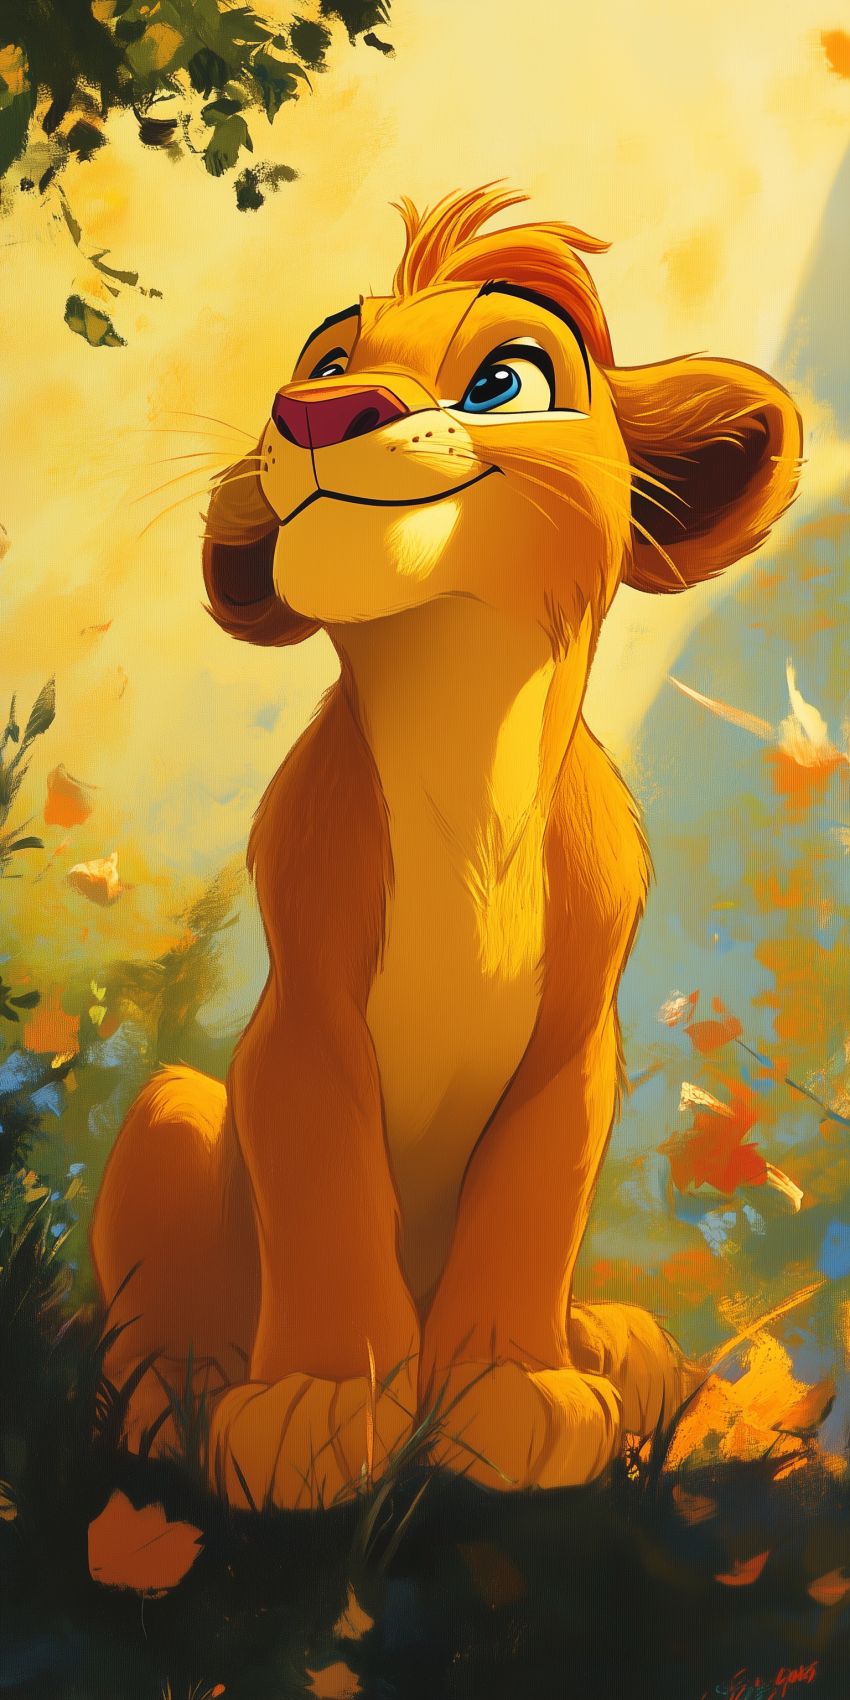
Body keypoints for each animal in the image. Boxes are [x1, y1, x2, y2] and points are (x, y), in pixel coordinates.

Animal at [90, 186, 802, 1508]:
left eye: (504, 379)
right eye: (328, 360)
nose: (314, 413)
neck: (460, 736)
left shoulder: (573, 1054)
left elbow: (526, 1215)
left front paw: (514, 1393)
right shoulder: (303, 1029)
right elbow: (327, 1203)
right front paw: (316, 1406)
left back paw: (639, 1367)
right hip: (169, 1108)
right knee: (153, 1340)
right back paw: (170, 1418)